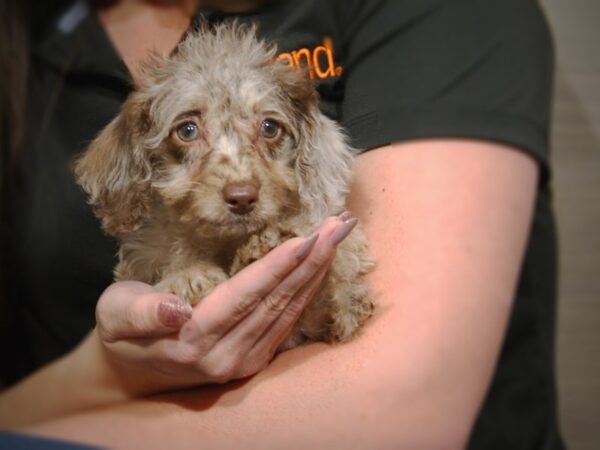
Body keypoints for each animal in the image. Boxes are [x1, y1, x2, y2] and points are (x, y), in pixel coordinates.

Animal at [74, 23, 376, 348]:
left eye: (269, 127)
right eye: (187, 130)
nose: (243, 197)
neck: (224, 242)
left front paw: (342, 297)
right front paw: (188, 274)